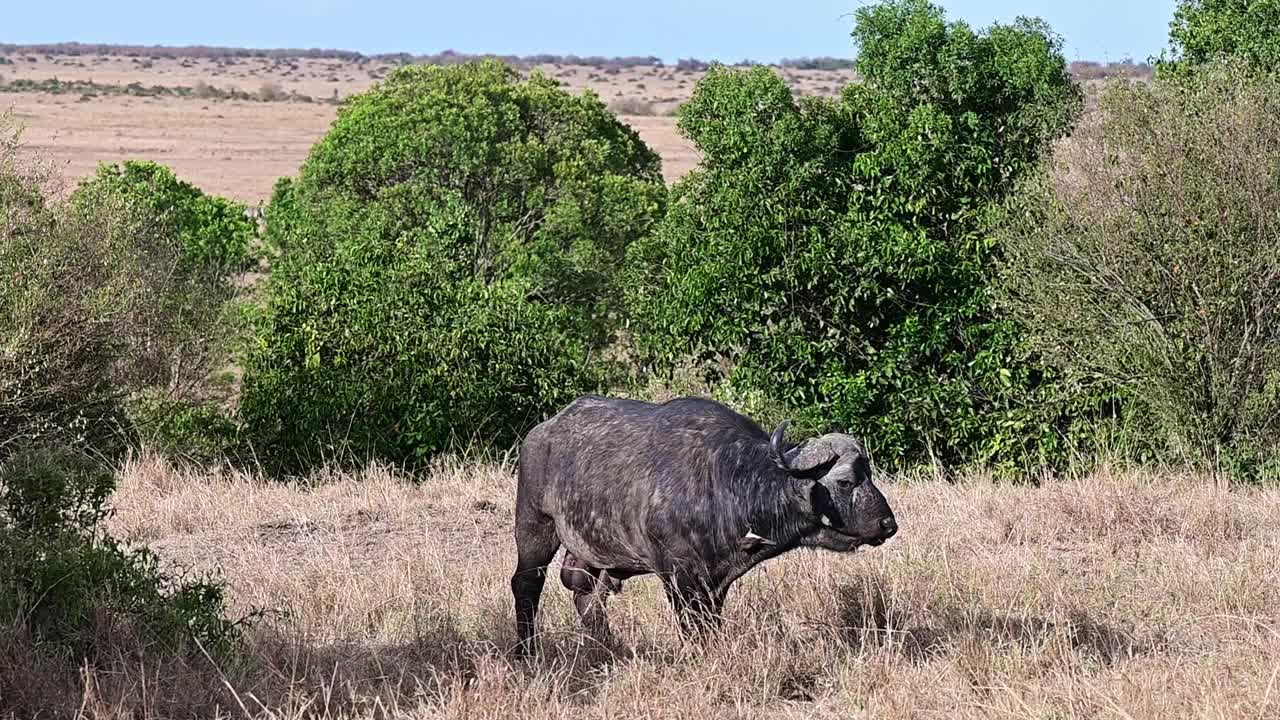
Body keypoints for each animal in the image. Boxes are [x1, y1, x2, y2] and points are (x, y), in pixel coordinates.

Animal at [504, 394, 896, 653]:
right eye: (845, 481)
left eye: (869, 475)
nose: (888, 524)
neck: (724, 482)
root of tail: (540, 433)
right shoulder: (678, 576)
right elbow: (691, 625)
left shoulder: (717, 581)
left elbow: (709, 622)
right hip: (534, 525)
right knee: (527, 585)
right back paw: (528, 649)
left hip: (592, 556)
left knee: (586, 595)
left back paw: (610, 647)